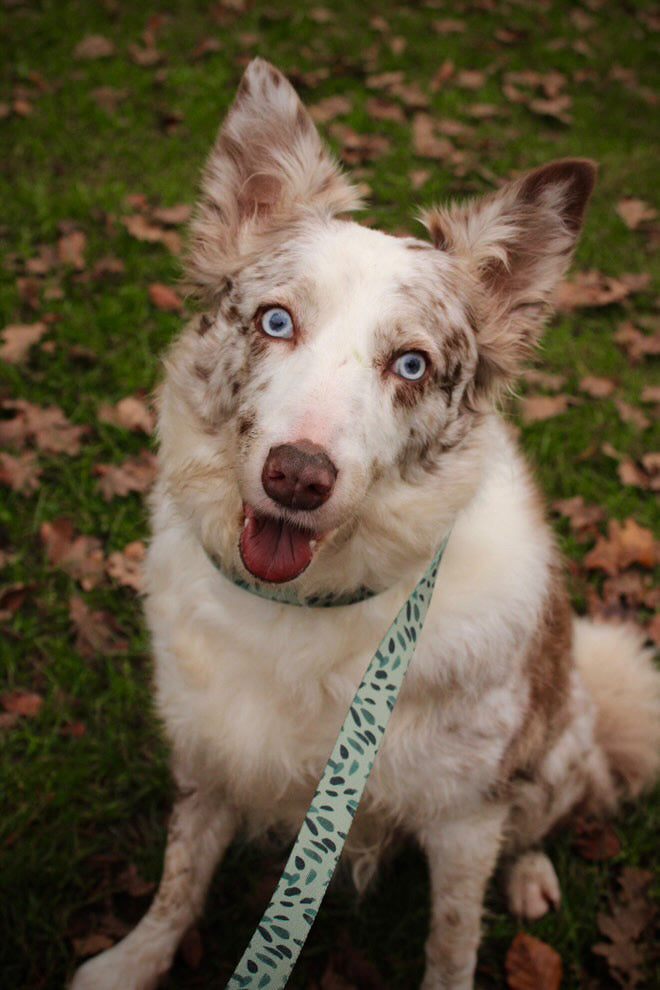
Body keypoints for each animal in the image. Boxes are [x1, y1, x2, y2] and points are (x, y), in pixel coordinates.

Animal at [69, 58, 656, 988]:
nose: (298, 477)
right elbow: (178, 880)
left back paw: (531, 876)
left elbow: (452, 938)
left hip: (553, 741)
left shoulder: (463, 817)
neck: (307, 609)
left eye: (411, 365)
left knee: (549, 809)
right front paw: (132, 963)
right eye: (275, 321)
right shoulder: (211, 752)